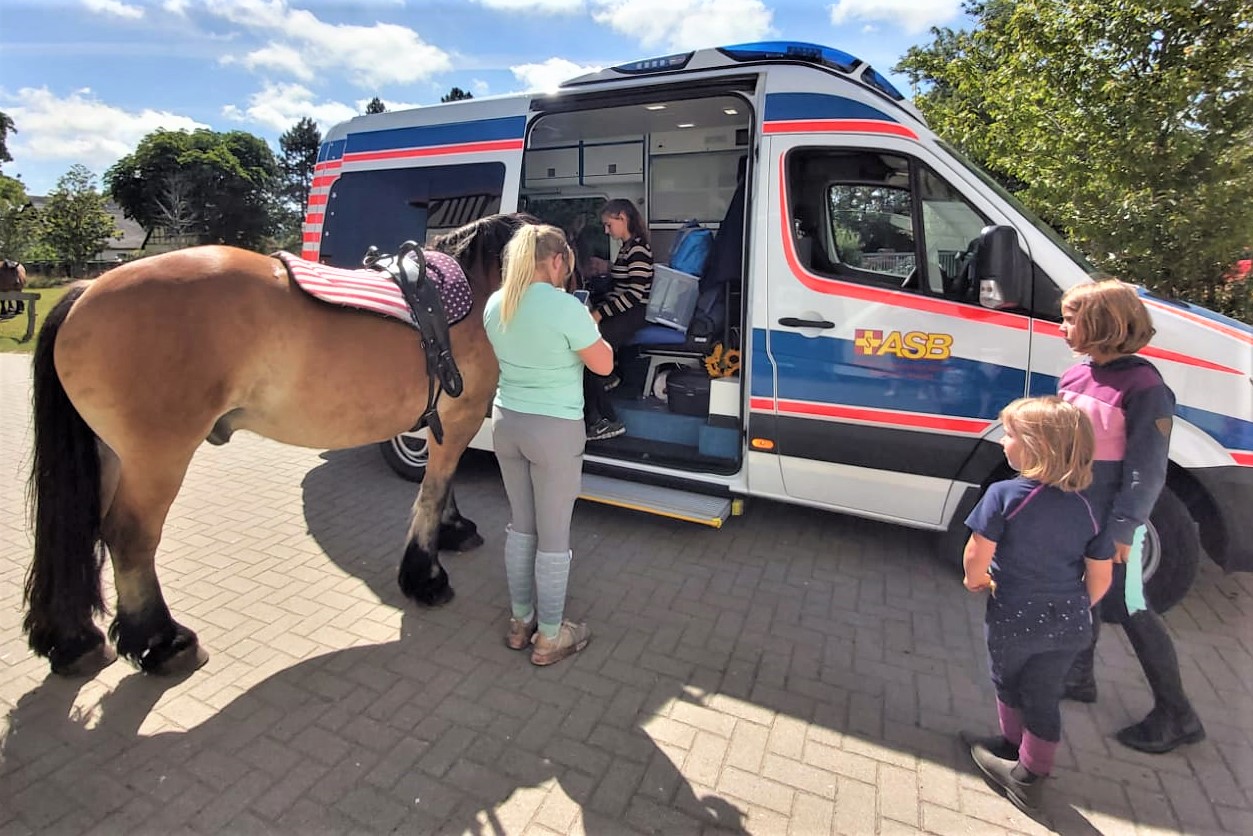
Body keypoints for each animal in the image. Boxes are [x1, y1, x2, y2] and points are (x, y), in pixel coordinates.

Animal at [26, 213, 531, 676]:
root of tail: (87, 289)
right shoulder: (461, 416)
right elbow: (433, 490)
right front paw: (426, 575)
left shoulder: (446, 424)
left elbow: (442, 483)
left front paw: (454, 529)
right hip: (157, 460)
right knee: (129, 537)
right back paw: (164, 641)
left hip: (109, 455)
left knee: (82, 529)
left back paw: (75, 641)